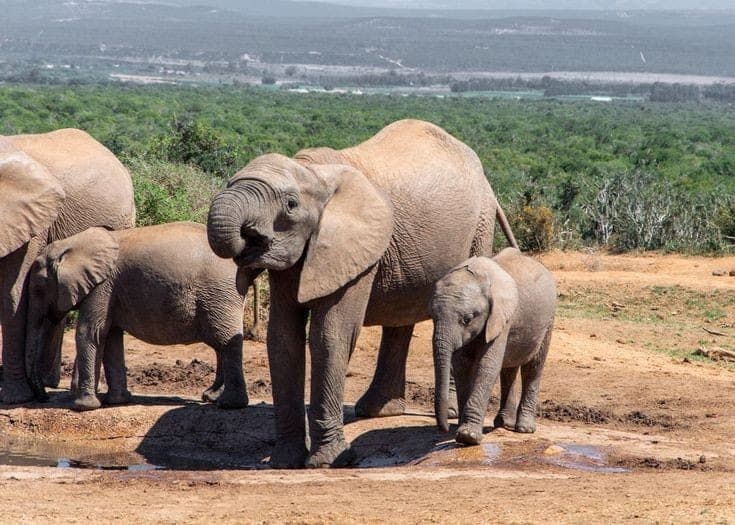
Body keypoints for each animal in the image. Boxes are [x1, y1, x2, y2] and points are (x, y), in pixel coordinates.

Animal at [0, 129, 136, 404]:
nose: (41, 398)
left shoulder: (31, 222)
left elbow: (13, 296)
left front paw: (15, 398)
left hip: (123, 220)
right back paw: (49, 382)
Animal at [26, 222, 255, 411]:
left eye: (38, 289)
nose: (44, 398)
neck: (72, 243)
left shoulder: (102, 287)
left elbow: (90, 333)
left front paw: (83, 406)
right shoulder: (110, 290)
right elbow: (111, 337)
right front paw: (116, 401)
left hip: (220, 293)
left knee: (225, 341)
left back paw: (229, 405)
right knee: (219, 343)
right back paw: (212, 397)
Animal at [206, 119, 518, 467]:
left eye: (290, 205)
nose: (248, 240)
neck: (313, 172)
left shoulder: (357, 250)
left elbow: (330, 335)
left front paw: (328, 462)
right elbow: (283, 338)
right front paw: (285, 462)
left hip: (480, 227)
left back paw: (441, 414)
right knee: (399, 319)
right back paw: (377, 410)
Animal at [430, 248, 556, 446]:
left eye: (467, 319)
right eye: (433, 317)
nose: (444, 427)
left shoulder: (501, 317)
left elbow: (487, 365)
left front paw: (468, 436)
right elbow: (462, 366)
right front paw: (460, 430)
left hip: (548, 320)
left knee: (533, 368)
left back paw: (524, 429)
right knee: (508, 369)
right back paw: (504, 423)